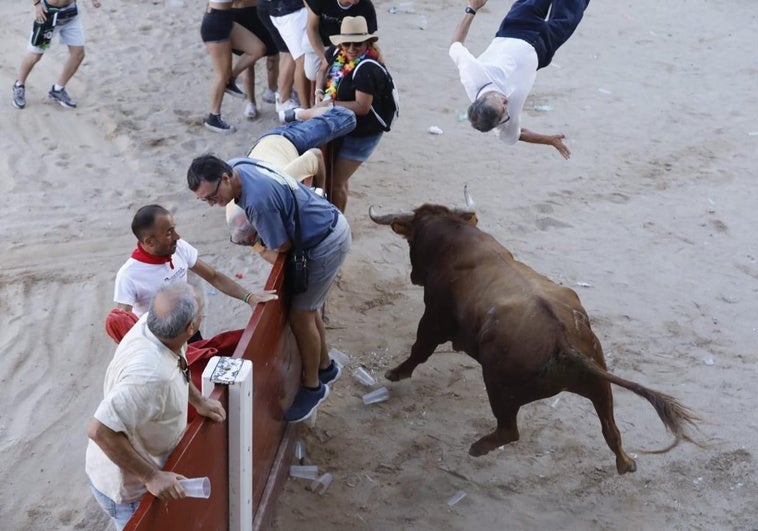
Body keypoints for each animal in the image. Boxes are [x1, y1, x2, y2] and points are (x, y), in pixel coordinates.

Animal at [370, 196, 700, 474]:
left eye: (412, 239)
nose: (414, 276)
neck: (456, 240)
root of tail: (563, 342)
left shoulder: (433, 318)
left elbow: (419, 349)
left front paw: (396, 373)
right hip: (599, 383)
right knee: (610, 428)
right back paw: (625, 463)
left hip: (499, 387)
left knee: (509, 430)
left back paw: (478, 447)